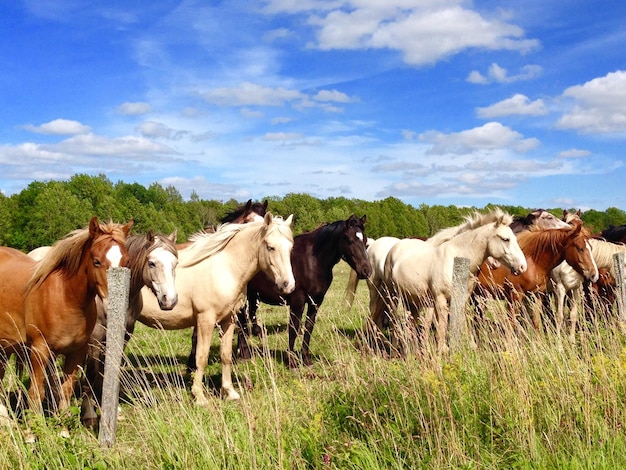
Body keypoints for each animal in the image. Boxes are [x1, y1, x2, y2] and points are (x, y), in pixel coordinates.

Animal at [0, 218, 132, 418]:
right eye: (96, 261)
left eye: (126, 260)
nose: (112, 304)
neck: (66, 299)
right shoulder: (39, 350)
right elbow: (37, 393)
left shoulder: (76, 352)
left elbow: (65, 390)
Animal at [138, 212, 294, 404]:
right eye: (271, 247)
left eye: (290, 248)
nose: (288, 285)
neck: (224, 268)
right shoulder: (205, 320)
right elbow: (201, 357)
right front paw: (199, 396)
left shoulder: (229, 320)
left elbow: (226, 355)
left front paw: (229, 392)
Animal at [185, 215, 370, 370]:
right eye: (349, 240)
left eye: (366, 241)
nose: (366, 270)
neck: (313, 260)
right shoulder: (297, 301)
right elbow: (294, 328)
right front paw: (292, 362)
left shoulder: (316, 302)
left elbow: (308, 328)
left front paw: (306, 359)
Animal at [376, 207, 528, 354]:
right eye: (505, 239)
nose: (522, 267)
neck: (455, 260)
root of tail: (395, 248)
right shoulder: (441, 299)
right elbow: (442, 326)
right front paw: (442, 351)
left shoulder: (462, 299)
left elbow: (461, 322)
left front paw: (469, 346)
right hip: (393, 295)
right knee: (394, 320)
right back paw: (395, 351)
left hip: (412, 298)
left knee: (413, 322)